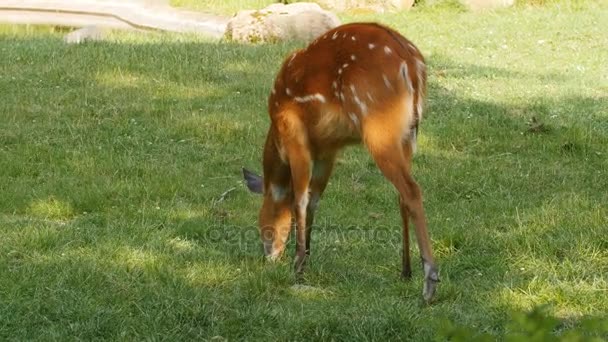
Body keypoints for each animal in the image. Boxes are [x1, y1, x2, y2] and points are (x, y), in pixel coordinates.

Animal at [243, 22, 442, 302]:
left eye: (263, 223)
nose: (268, 255)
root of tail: (413, 66)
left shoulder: (295, 137)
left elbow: (299, 198)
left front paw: (298, 266)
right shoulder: (328, 151)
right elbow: (314, 198)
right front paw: (307, 257)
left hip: (379, 126)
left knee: (412, 190)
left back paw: (429, 281)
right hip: (409, 134)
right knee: (402, 194)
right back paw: (405, 271)